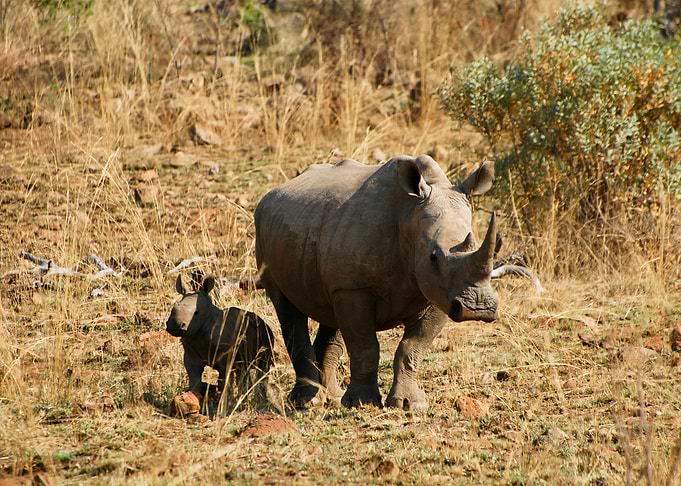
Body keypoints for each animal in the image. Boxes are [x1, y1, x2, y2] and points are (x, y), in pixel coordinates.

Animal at [255, 155, 498, 410]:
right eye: (433, 257)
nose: (477, 309)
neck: (409, 214)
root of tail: (273, 192)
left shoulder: (440, 294)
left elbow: (413, 347)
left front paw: (410, 404)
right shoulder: (355, 288)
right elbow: (365, 347)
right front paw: (363, 403)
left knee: (331, 314)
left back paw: (331, 398)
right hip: (267, 233)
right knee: (287, 308)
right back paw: (306, 402)